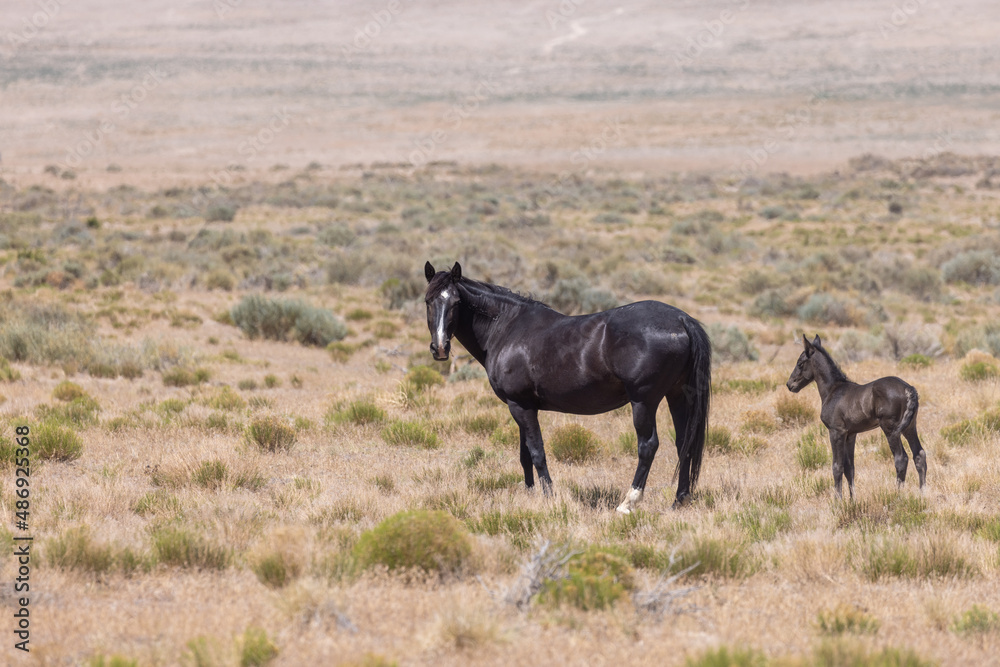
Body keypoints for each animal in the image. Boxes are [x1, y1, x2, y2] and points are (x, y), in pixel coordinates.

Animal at [424, 261, 712, 513]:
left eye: (456, 303)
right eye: (428, 301)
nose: (440, 348)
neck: (507, 329)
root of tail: (681, 319)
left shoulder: (520, 406)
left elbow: (537, 452)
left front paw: (549, 496)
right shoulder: (522, 406)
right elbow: (524, 455)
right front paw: (530, 495)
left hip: (644, 401)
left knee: (648, 446)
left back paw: (627, 503)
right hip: (677, 396)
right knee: (684, 442)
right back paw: (680, 500)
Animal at [786, 334, 927, 499]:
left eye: (800, 363)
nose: (790, 385)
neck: (833, 390)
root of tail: (908, 388)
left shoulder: (836, 432)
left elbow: (837, 466)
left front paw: (838, 500)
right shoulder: (850, 434)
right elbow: (850, 468)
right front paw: (852, 500)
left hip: (890, 429)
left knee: (901, 458)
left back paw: (897, 495)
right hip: (909, 427)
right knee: (919, 455)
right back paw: (923, 494)